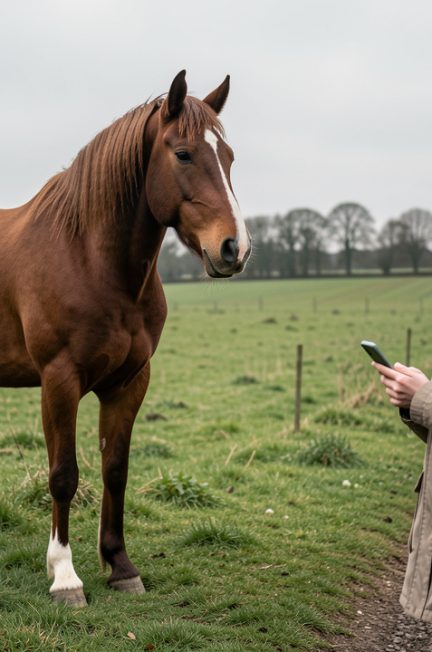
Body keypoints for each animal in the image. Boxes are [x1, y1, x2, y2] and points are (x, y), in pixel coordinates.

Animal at [0, 71, 251, 607]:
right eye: (183, 154)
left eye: (229, 156)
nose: (234, 249)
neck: (87, 257)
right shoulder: (59, 381)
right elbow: (63, 475)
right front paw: (65, 576)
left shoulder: (130, 381)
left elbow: (115, 468)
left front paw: (120, 566)